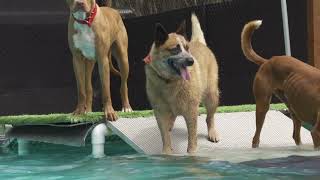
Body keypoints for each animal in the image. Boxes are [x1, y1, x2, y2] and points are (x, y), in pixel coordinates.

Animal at [145, 14, 220, 155]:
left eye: (187, 48)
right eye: (175, 49)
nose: (191, 60)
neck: (170, 82)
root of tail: (199, 42)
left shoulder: (190, 112)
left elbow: (192, 136)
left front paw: (192, 153)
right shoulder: (159, 111)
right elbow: (164, 135)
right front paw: (166, 152)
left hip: (211, 96)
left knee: (210, 118)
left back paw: (212, 132)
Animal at [241, 19, 320, 149]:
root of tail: (268, 61)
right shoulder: (316, 132)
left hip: (291, 103)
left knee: (296, 133)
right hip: (263, 104)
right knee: (256, 137)